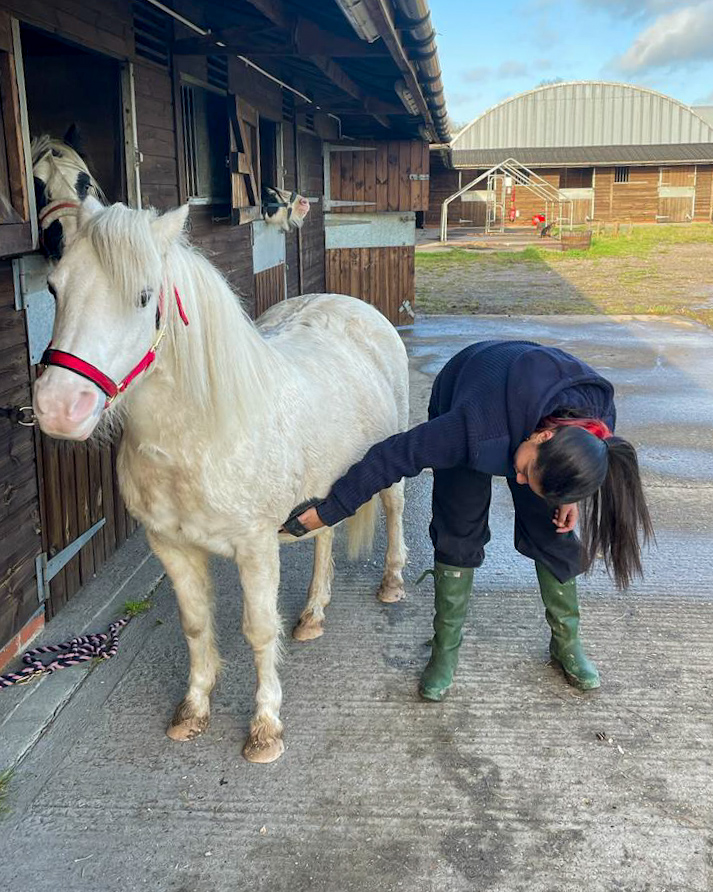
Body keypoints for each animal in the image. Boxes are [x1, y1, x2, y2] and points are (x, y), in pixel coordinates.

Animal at [33, 199, 408, 764]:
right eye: (55, 288)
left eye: (144, 295)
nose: (59, 407)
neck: (201, 437)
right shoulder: (171, 547)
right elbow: (195, 626)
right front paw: (192, 710)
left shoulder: (255, 549)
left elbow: (258, 630)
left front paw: (266, 728)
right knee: (324, 538)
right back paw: (312, 615)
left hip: (390, 466)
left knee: (393, 512)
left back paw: (391, 583)